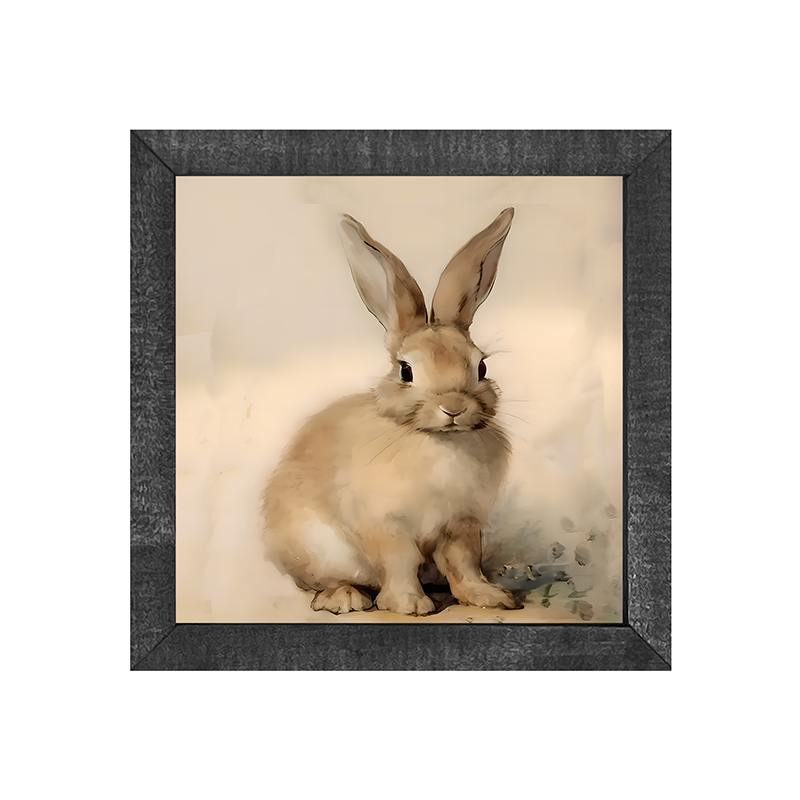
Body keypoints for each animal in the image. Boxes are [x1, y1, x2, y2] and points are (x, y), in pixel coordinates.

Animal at [261, 207, 519, 616]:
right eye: (406, 371)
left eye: (481, 367)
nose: (454, 407)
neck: (437, 441)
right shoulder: (383, 524)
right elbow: (399, 561)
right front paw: (409, 604)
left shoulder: (461, 524)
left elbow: (464, 562)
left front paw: (489, 597)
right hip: (316, 550)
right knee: (324, 583)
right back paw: (345, 598)